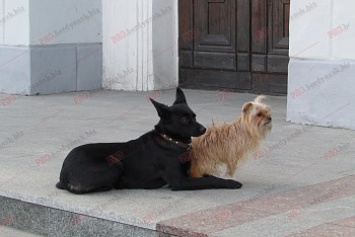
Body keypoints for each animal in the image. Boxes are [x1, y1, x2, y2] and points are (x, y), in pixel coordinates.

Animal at [56, 88, 245, 193]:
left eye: (194, 116)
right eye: (184, 120)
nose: (203, 129)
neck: (172, 141)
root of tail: (64, 173)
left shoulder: (189, 173)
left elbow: (208, 175)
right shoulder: (180, 181)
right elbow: (209, 180)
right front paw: (231, 183)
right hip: (115, 163)